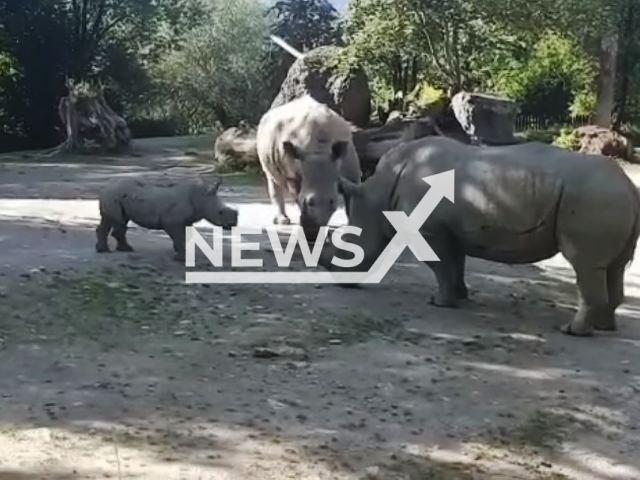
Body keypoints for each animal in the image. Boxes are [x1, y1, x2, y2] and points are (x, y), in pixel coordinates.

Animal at [97, 175, 240, 260]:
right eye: (220, 212)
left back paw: (112, 250)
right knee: (116, 221)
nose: (233, 224)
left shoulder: (186, 221)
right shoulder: (173, 221)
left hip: (118, 196)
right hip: (113, 195)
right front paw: (181, 259)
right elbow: (180, 237)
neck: (201, 197)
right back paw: (109, 251)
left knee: (115, 221)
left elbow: (185, 237)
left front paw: (179, 253)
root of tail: (105, 187)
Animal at [258, 94, 362, 240]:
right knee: (272, 178)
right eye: (304, 202)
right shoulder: (294, 174)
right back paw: (283, 221)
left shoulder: (351, 172)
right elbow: (296, 195)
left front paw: (352, 228)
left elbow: (351, 198)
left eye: (332, 202)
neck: (320, 151)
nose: (312, 235)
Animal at [320, 136, 640, 338]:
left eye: (349, 250)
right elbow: (454, 264)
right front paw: (460, 295)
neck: (378, 194)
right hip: (605, 198)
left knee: (585, 265)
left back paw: (573, 332)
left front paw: (439, 302)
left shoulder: (428, 230)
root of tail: (629, 187)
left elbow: (440, 266)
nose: (340, 282)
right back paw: (604, 327)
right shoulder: (449, 229)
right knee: (614, 267)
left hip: (593, 198)